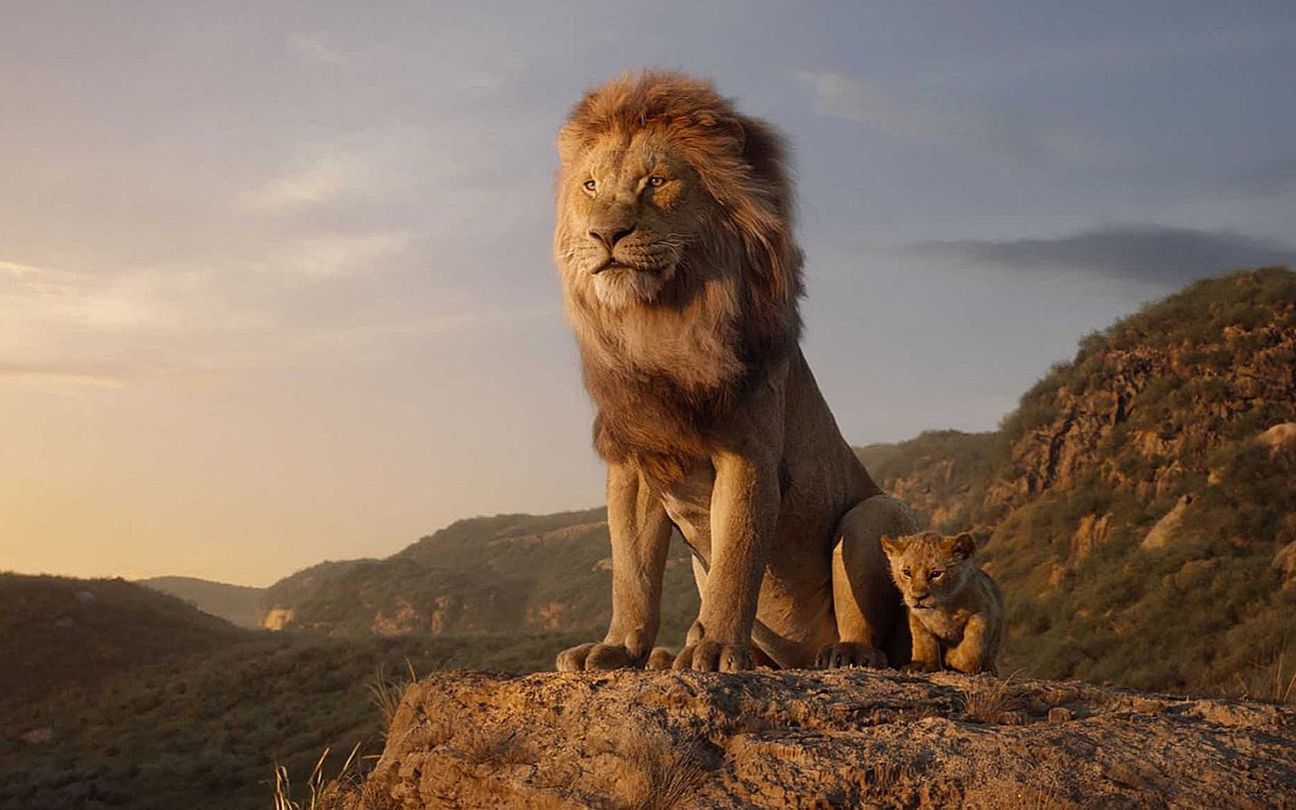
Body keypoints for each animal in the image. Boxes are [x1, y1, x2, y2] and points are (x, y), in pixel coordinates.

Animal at [552, 72, 916, 672]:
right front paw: (618, 648)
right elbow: (631, 572)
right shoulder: (635, 461)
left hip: (875, 514)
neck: (660, 324)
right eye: (590, 186)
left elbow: (736, 561)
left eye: (656, 181)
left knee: (876, 634)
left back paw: (844, 653)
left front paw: (718, 648)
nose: (606, 235)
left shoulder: (749, 455)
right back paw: (669, 655)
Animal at [880, 532, 1004, 675]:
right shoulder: (916, 618)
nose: (918, 597)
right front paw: (922, 664)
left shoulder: (983, 611)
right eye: (907, 572)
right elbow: (923, 642)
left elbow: (973, 643)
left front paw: (954, 659)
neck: (942, 608)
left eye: (935, 574)